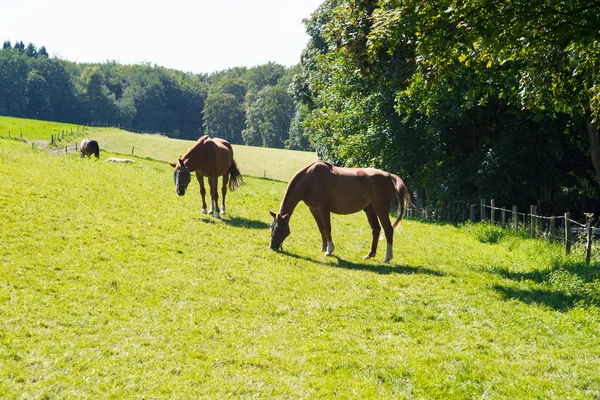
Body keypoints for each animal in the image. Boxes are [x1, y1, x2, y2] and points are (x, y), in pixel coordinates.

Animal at [270, 161, 410, 264]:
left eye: (281, 229)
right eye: (272, 227)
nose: (272, 246)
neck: (310, 179)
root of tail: (389, 176)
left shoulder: (323, 208)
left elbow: (327, 229)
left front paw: (329, 250)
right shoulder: (313, 209)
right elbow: (321, 228)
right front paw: (323, 248)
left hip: (380, 209)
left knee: (388, 230)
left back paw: (387, 258)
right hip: (370, 209)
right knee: (376, 230)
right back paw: (370, 255)